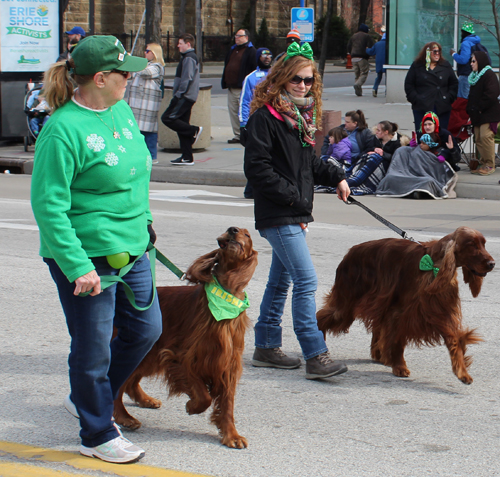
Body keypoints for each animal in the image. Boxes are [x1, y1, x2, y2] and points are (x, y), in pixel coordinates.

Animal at [113, 226, 258, 446]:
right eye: (229, 230)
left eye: (247, 234)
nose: (232, 229)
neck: (224, 295)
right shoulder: (183, 357)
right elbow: (204, 396)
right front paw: (192, 406)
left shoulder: (228, 363)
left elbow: (227, 403)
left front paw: (231, 435)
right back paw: (124, 417)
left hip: (148, 353)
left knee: (130, 381)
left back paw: (145, 400)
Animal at [318, 225, 494, 384]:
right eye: (472, 245)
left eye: (484, 244)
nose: (492, 263)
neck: (433, 266)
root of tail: (349, 253)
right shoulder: (402, 311)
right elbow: (398, 341)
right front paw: (400, 367)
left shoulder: (439, 310)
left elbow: (454, 340)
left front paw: (462, 373)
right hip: (346, 303)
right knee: (320, 317)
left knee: (377, 325)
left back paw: (379, 355)